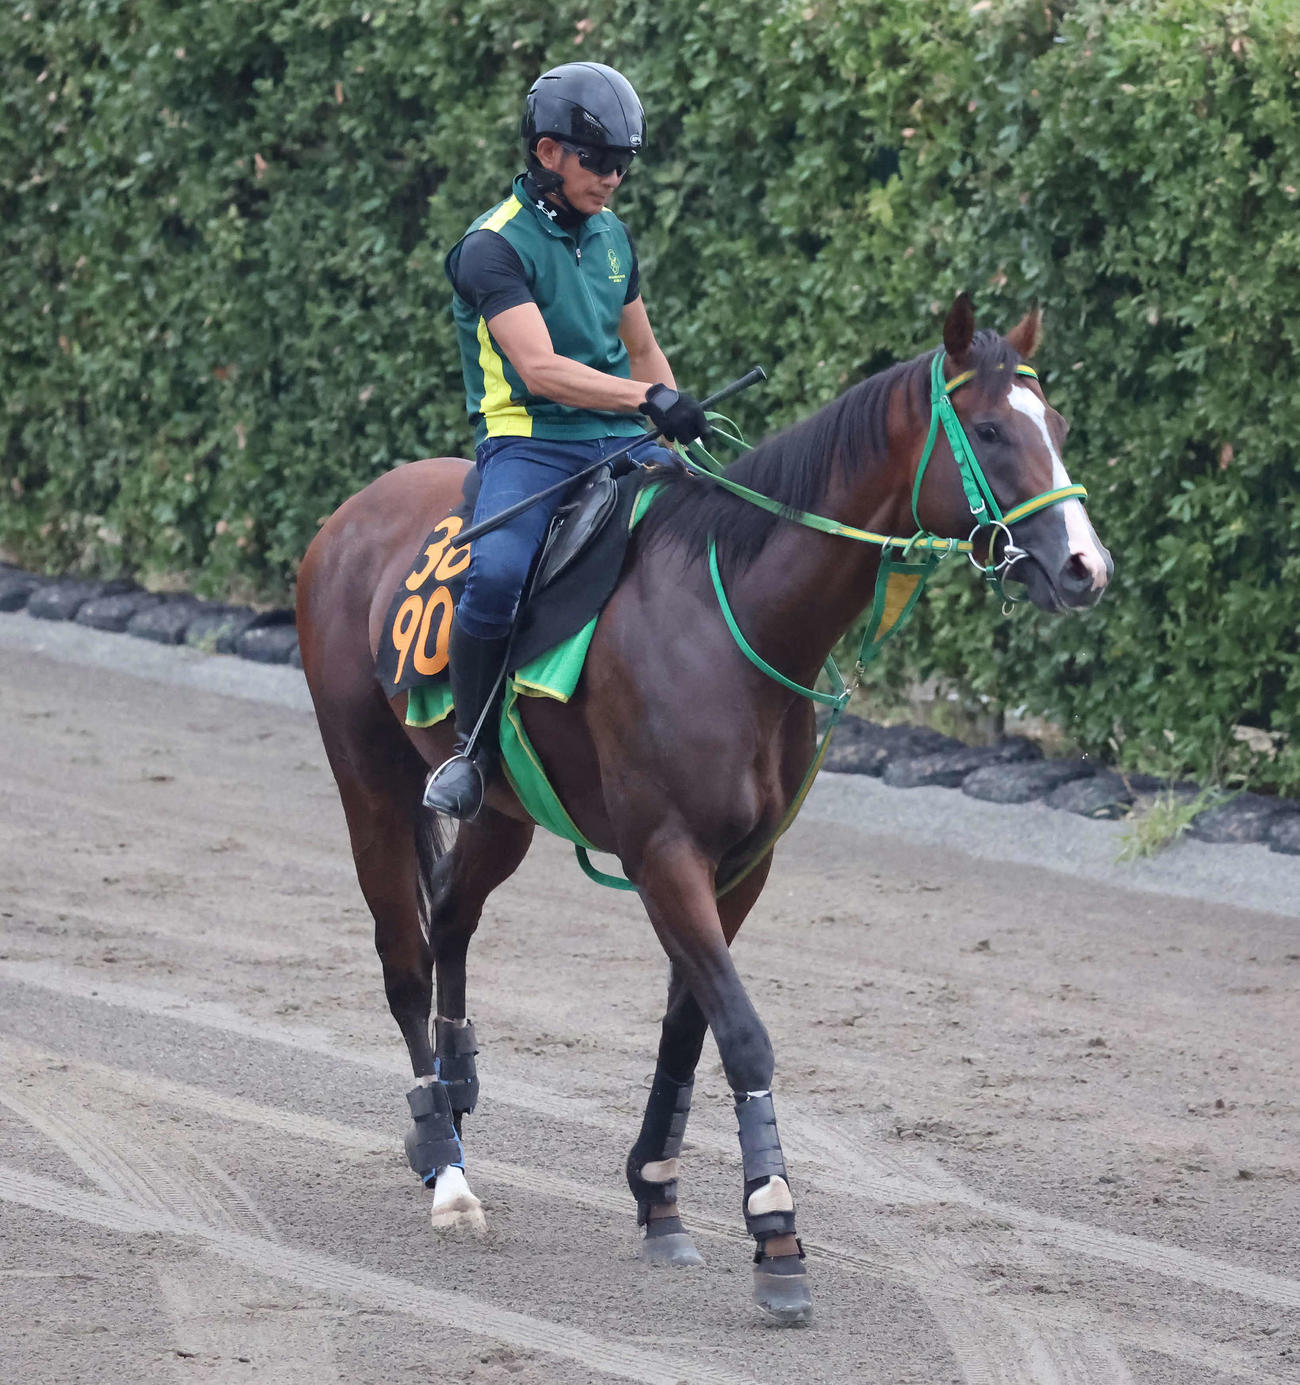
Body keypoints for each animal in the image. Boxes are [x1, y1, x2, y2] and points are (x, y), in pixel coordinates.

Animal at [295, 295, 1112, 1325]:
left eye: (1063, 427)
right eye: (996, 431)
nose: (1086, 566)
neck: (733, 616)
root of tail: (349, 515)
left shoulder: (740, 866)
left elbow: (690, 1029)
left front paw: (658, 1197)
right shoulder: (666, 856)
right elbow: (745, 1034)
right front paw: (777, 1231)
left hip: (503, 811)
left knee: (450, 915)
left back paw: (460, 1082)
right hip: (367, 779)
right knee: (403, 956)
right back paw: (445, 1164)